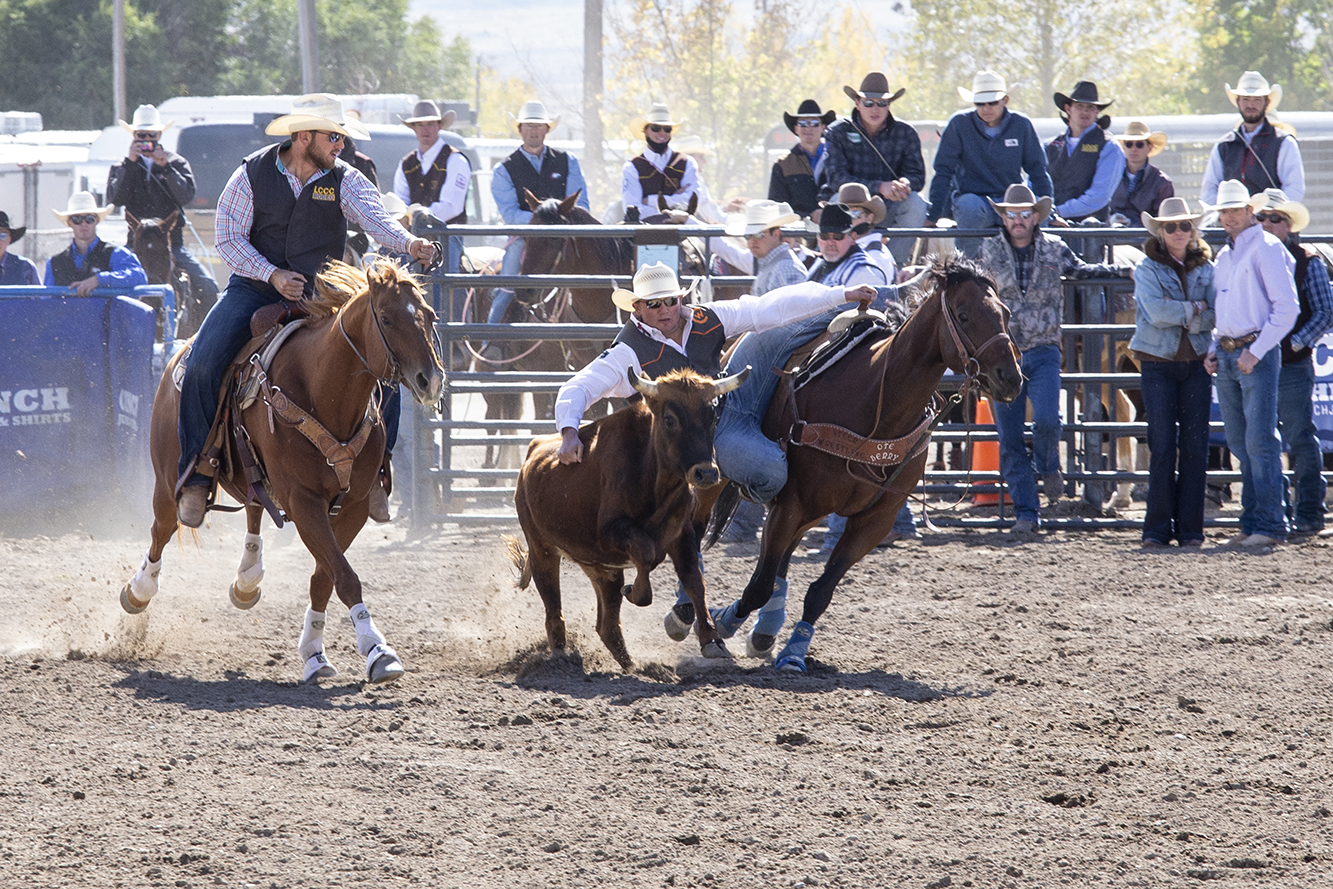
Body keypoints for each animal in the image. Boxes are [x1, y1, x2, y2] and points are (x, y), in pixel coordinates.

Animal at [121, 261, 442, 687]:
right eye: (387, 318)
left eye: (430, 315)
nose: (431, 380)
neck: (325, 391)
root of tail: (178, 354)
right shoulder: (303, 501)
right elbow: (344, 576)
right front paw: (378, 649)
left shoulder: (354, 505)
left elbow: (326, 577)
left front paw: (316, 653)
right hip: (167, 477)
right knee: (163, 528)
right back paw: (139, 591)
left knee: (254, 507)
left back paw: (247, 579)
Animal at [714, 257, 1023, 674]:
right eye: (963, 315)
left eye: (1004, 313)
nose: (1011, 378)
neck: (876, 400)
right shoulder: (791, 504)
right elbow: (759, 584)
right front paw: (721, 623)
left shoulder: (874, 521)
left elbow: (819, 591)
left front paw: (794, 651)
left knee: (779, 562)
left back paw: (765, 633)